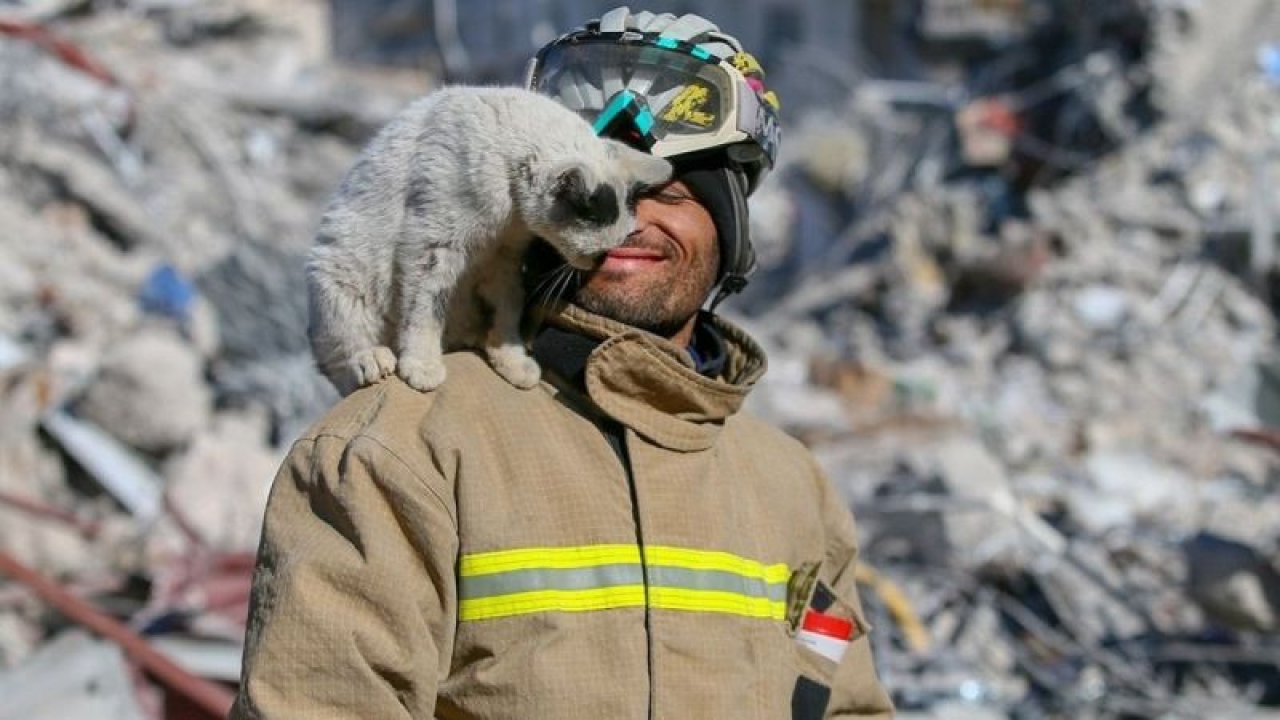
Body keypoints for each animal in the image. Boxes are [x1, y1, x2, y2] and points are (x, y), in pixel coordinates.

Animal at [305, 88, 675, 397]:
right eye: (597, 252)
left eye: (612, 249)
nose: (599, 262)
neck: (510, 213)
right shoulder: (432, 246)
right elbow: (425, 310)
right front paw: (422, 365)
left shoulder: (504, 260)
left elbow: (508, 310)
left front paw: (511, 359)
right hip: (337, 277)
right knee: (339, 362)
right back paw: (370, 359)